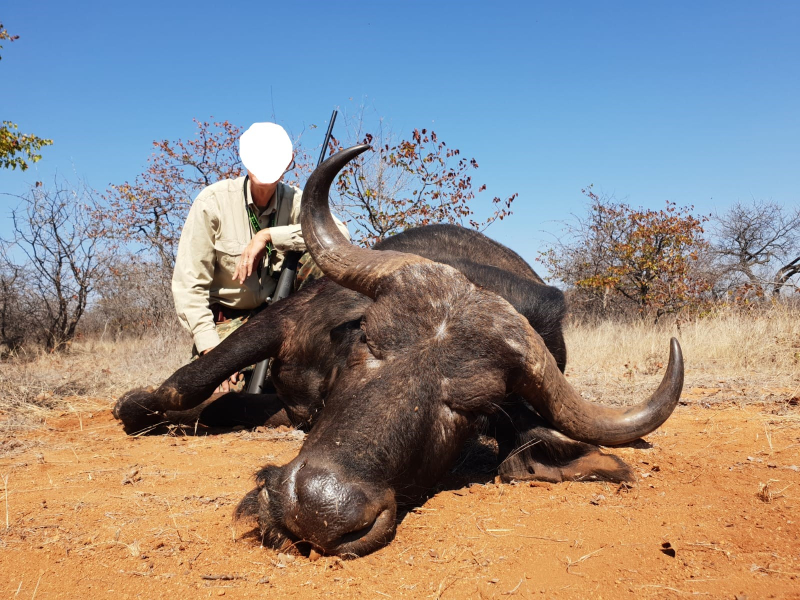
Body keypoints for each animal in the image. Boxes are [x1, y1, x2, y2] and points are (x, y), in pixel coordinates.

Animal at [114, 145, 683, 558]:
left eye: (474, 410)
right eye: (368, 342)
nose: (318, 508)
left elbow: (224, 400)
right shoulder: (286, 320)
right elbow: (190, 381)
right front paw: (136, 408)